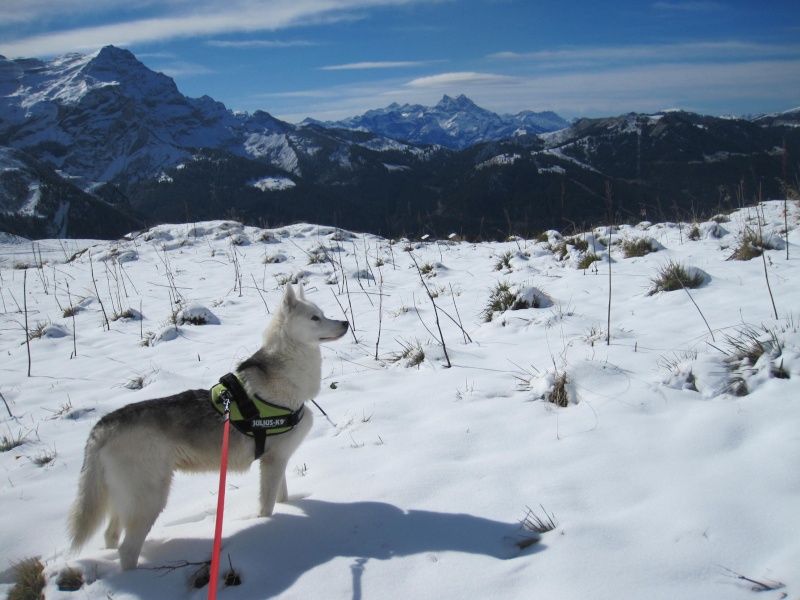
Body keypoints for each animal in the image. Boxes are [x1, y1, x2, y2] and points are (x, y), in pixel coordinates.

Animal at [66, 284, 346, 568]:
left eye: (323, 314)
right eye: (315, 318)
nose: (345, 323)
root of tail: (103, 425)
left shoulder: (277, 459)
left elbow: (283, 497)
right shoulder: (273, 461)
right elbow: (267, 507)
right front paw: (268, 524)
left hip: (122, 500)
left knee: (111, 536)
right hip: (150, 500)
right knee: (127, 549)